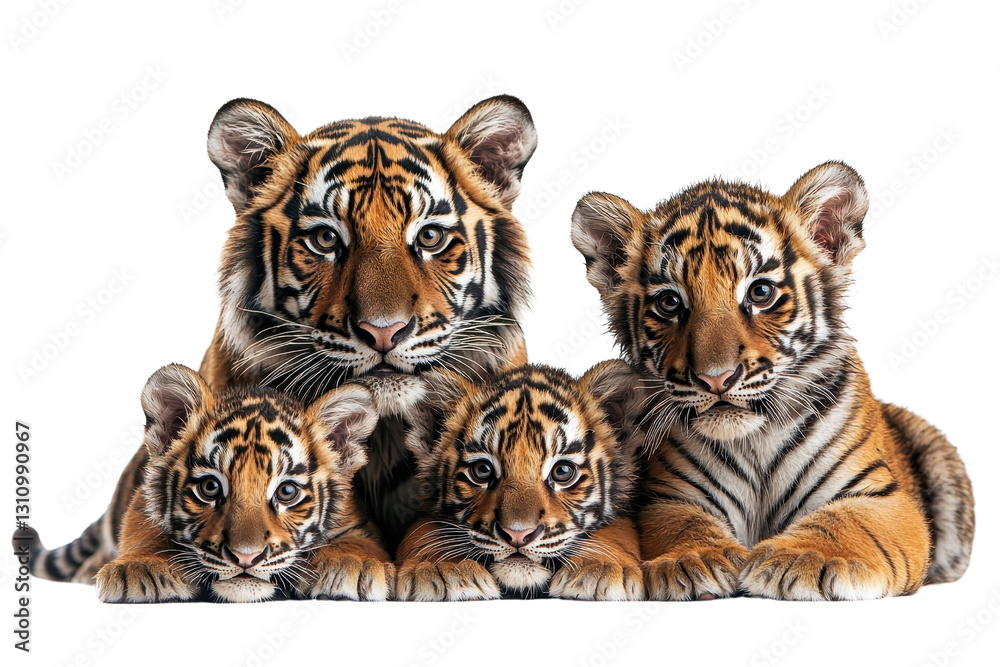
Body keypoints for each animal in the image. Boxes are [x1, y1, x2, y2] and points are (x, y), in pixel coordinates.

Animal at [15, 364, 391, 603]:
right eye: (210, 488)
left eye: (287, 492)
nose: (245, 557)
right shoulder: (142, 502)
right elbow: (142, 531)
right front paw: (139, 568)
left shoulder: (358, 518)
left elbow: (359, 541)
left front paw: (351, 565)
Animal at [48, 94, 538, 585]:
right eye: (325, 239)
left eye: (431, 237)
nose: (384, 330)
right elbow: (153, 516)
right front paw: (143, 567)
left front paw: (439, 570)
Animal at [394, 362, 648, 601]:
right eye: (482, 470)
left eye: (563, 471)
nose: (517, 534)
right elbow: (424, 530)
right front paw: (441, 569)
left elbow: (618, 531)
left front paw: (601, 568)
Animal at [570, 161, 975, 600]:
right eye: (669, 302)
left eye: (760, 292)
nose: (717, 378)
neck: (756, 441)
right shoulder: (669, 497)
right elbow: (683, 524)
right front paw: (694, 561)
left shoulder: (884, 497)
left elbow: (843, 522)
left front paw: (800, 559)